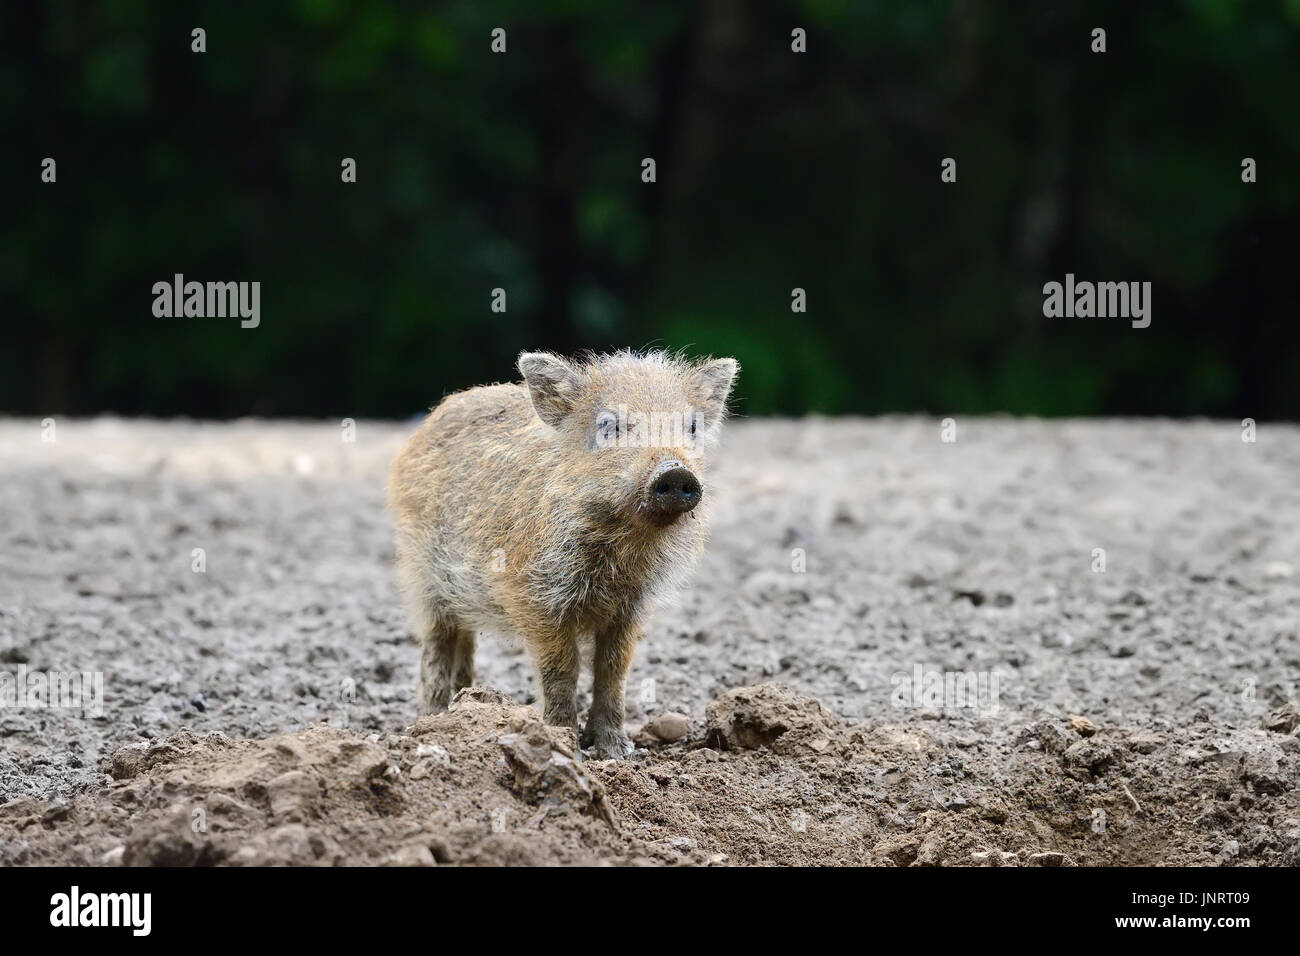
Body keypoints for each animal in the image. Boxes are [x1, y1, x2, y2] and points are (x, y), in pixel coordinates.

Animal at [388, 349, 738, 758]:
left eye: (692, 427)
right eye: (609, 425)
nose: (675, 471)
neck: (620, 547)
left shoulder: (633, 604)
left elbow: (613, 669)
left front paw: (617, 751)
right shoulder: (536, 597)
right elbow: (562, 669)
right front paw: (562, 741)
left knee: (465, 640)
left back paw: (466, 707)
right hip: (422, 574)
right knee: (437, 643)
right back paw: (429, 723)